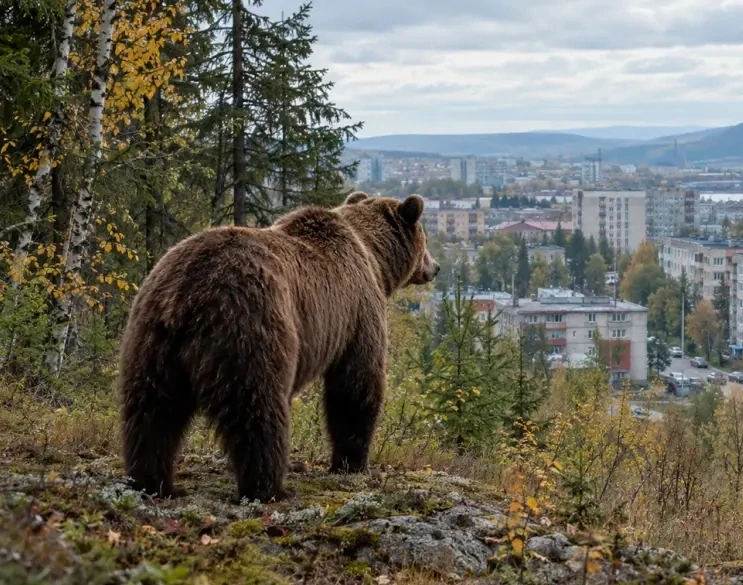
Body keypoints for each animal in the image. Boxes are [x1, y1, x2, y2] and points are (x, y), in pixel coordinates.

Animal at [118, 192, 439, 502]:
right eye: (425, 239)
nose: (435, 267)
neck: (374, 258)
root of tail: (186, 293)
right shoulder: (358, 312)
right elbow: (355, 386)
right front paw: (351, 463)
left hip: (151, 340)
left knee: (152, 411)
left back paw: (153, 482)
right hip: (252, 325)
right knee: (257, 408)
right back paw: (270, 486)